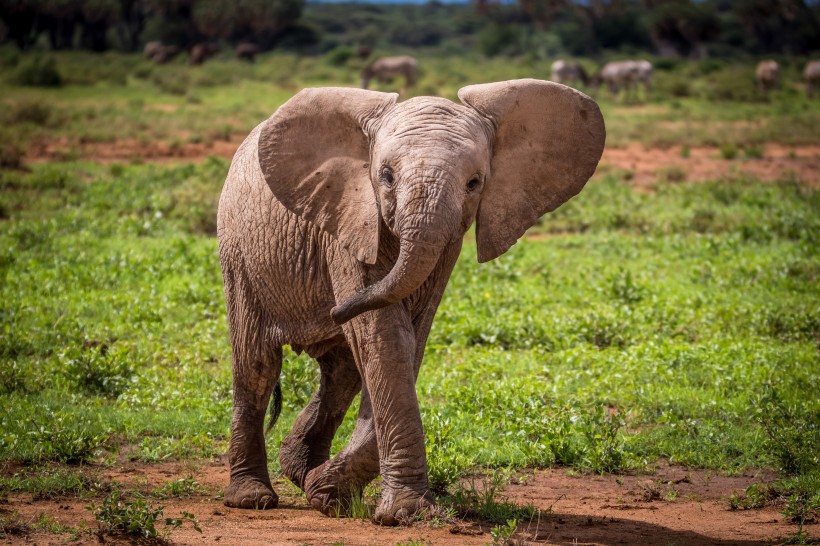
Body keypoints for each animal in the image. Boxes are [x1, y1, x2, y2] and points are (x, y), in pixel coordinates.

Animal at [215, 76, 604, 524]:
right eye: (384, 176)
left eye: (474, 183)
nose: (335, 308)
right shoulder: (350, 222)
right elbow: (386, 336)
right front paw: (399, 513)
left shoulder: (447, 244)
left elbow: (409, 339)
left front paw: (330, 495)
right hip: (238, 252)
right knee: (258, 365)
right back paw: (252, 497)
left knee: (343, 372)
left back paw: (301, 472)